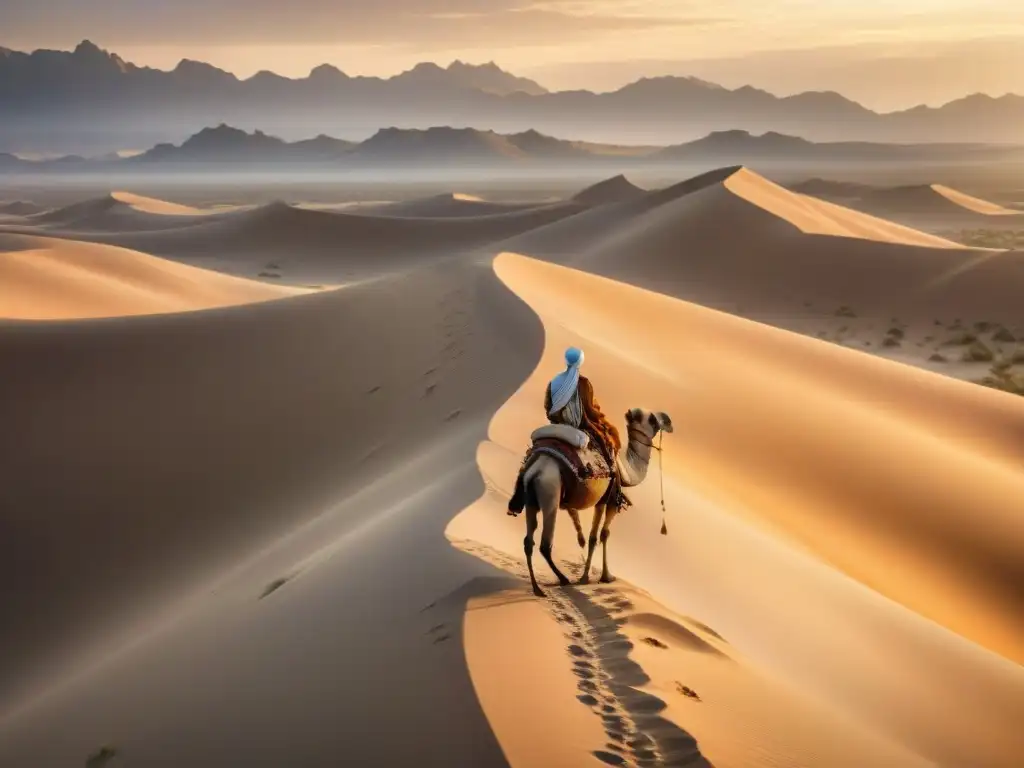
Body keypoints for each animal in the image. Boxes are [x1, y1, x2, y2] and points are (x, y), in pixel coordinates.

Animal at [520, 409, 671, 593]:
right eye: (652, 420)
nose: (669, 422)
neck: (625, 470)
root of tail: (535, 470)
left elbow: (596, 534)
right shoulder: (610, 499)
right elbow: (600, 535)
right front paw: (599, 577)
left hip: (531, 498)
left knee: (528, 541)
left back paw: (537, 588)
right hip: (550, 493)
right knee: (545, 544)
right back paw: (563, 579)